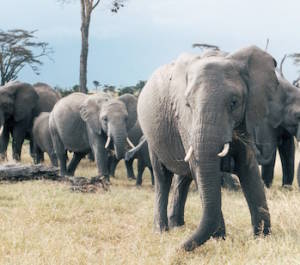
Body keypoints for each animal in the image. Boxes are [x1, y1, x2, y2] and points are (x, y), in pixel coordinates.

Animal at [137, 45, 282, 250]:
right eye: (188, 104)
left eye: (234, 103)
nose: (175, 249)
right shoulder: (185, 120)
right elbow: (199, 169)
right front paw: (219, 239)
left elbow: (248, 167)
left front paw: (262, 237)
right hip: (152, 136)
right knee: (163, 176)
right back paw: (161, 230)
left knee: (183, 177)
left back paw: (177, 226)